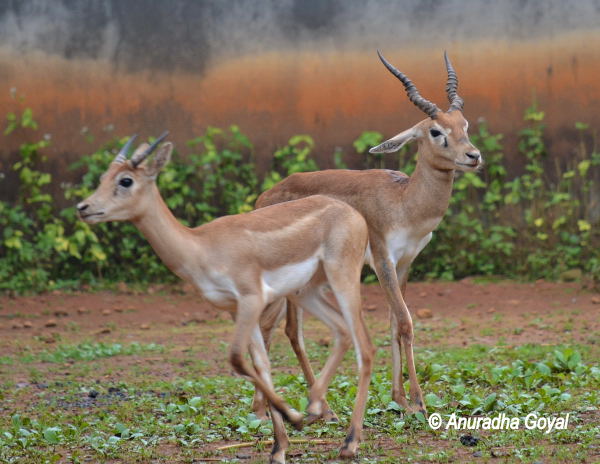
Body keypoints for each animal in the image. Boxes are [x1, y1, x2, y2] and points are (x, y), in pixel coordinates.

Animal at [77, 133, 372, 460]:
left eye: (126, 180)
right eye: (103, 177)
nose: (84, 207)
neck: (200, 246)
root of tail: (353, 214)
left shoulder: (251, 299)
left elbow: (236, 359)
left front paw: (292, 419)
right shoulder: (236, 309)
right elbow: (261, 365)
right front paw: (279, 448)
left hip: (342, 278)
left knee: (365, 346)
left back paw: (348, 441)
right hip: (306, 292)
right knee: (341, 332)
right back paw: (316, 408)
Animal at [253, 50, 482, 416]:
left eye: (465, 125)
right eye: (435, 131)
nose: (473, 156)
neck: (404, 201)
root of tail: (265, 197)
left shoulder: (405, 263)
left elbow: (393, 323)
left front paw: (399, 398)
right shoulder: (381, 258)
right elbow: (405, 322)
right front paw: (418, 401)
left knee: (279, 328)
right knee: (279, 328)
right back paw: (294, 409)